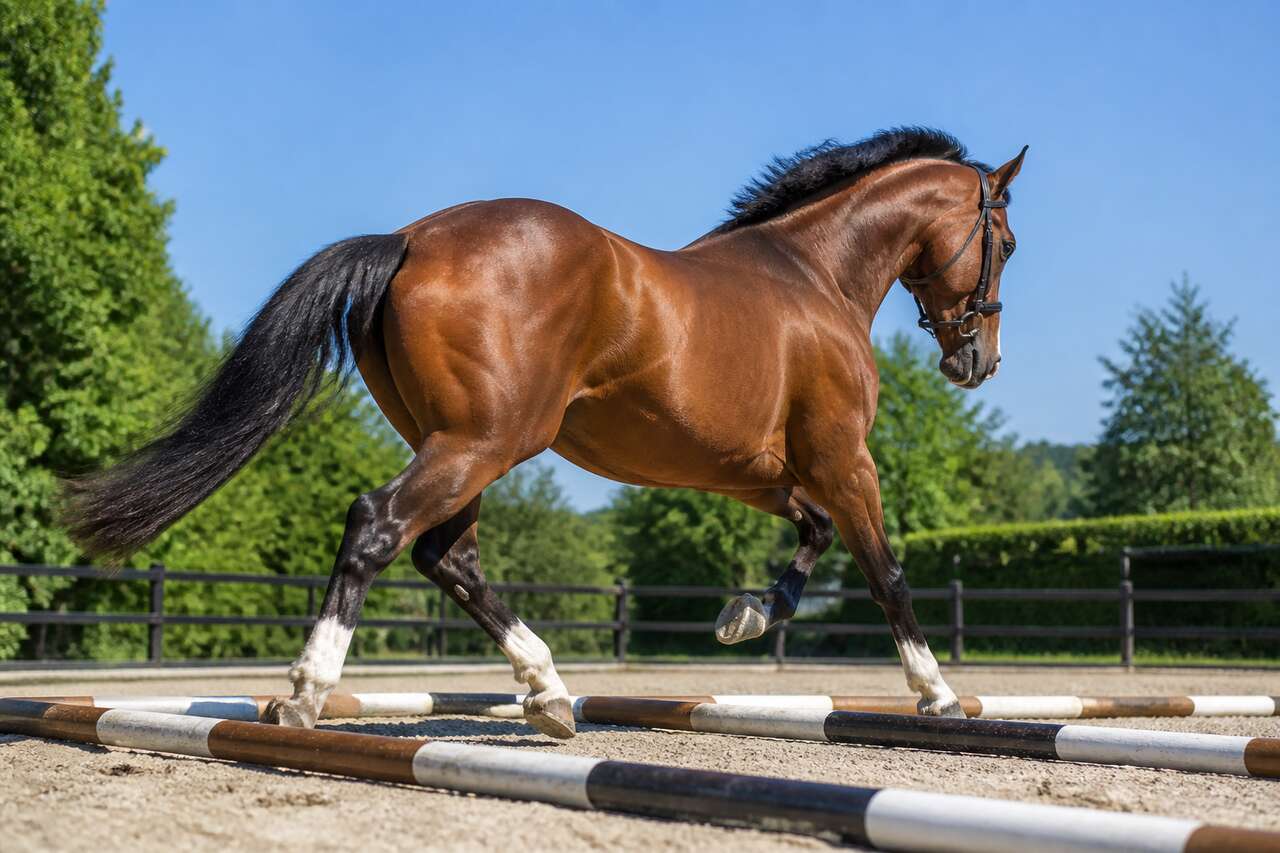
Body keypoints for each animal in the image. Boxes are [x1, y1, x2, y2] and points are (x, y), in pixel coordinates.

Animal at [64, 127, 1026, 738]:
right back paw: (305, 695)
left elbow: (816, 534)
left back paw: (550, 694)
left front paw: (746, 615)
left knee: (445, 556)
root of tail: (409, 241)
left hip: (465, 444)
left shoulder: (757, 471)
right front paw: (940, 696)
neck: (813, 273)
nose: (978, 360)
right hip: (484, 442)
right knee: (381, 527)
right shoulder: (842, 457)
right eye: (1007, 242)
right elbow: (886, 572)